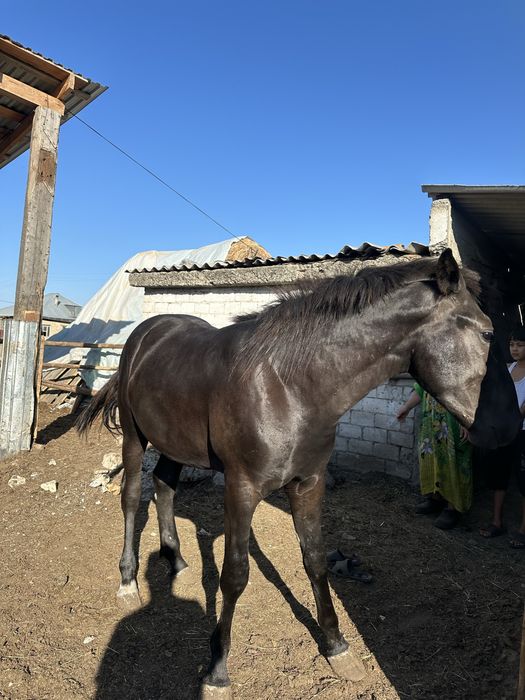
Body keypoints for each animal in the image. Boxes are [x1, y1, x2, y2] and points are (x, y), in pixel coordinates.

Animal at [77, 249, 520, 698]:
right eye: (487, 333)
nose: (509, 429)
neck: (287, 385)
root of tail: (145, 333)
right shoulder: (241, 488)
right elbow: (235, 575)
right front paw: (217, 669)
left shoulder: (308, 484)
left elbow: (316, 561)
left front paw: (338, 647)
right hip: (135, 438)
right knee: (133, 497)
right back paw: (128, 581)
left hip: (174, 442)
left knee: (165, 487)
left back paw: (178, 562)